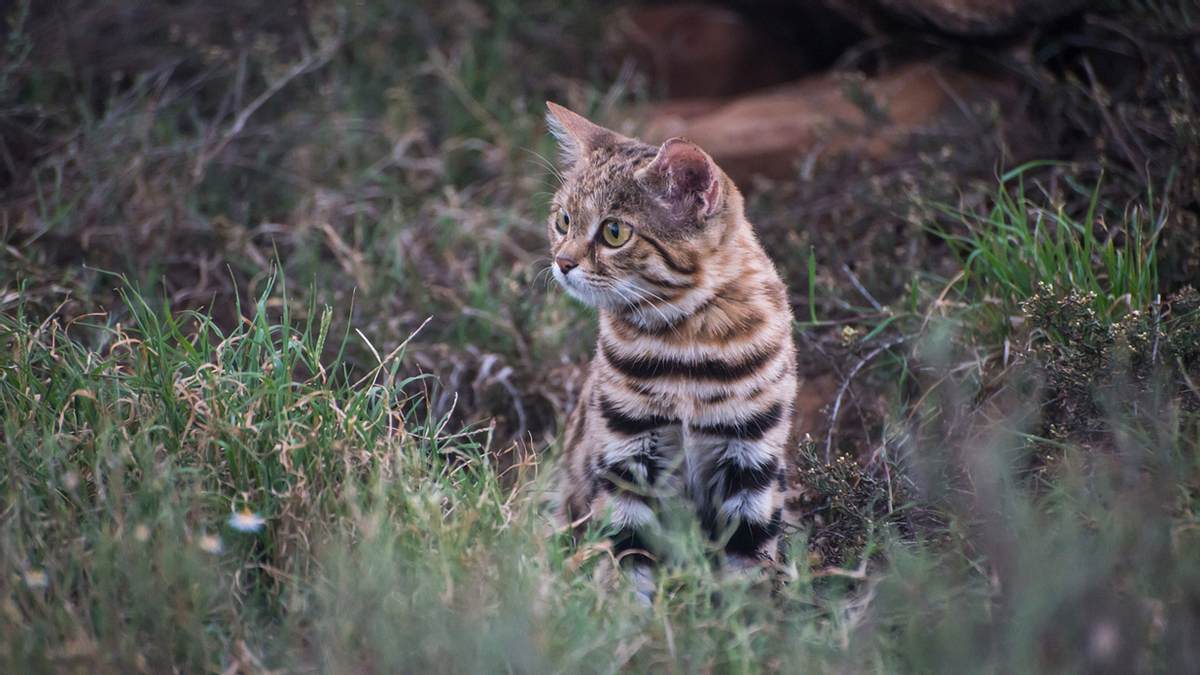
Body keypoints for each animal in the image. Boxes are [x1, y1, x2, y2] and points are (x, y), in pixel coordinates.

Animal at [547, 99, 796, 583]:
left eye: (614, 232)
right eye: (562, 220)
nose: (561, 262)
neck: (685, 345)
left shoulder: (752, 461)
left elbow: (749, 569)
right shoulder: (626, 456)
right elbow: (624, 561)